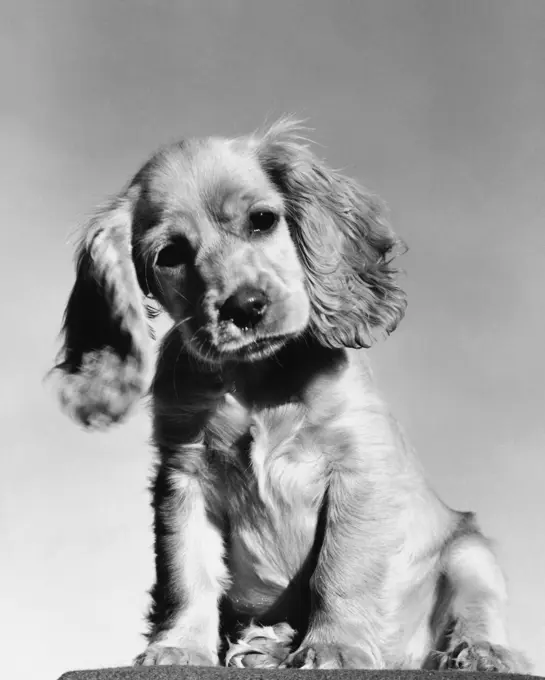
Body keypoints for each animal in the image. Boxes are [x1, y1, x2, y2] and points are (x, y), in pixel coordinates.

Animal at [51, 118, 528, 668]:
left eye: (262, 220)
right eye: (169, 255)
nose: (245, 306)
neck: (257, 380)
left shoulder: (358, 470)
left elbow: (340, 569)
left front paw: (335, 646)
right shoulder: (182, 479)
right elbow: (186, 571)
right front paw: (177, 647)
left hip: (469, 552)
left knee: (476, 609)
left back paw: (481, 651)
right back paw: (267, 644)